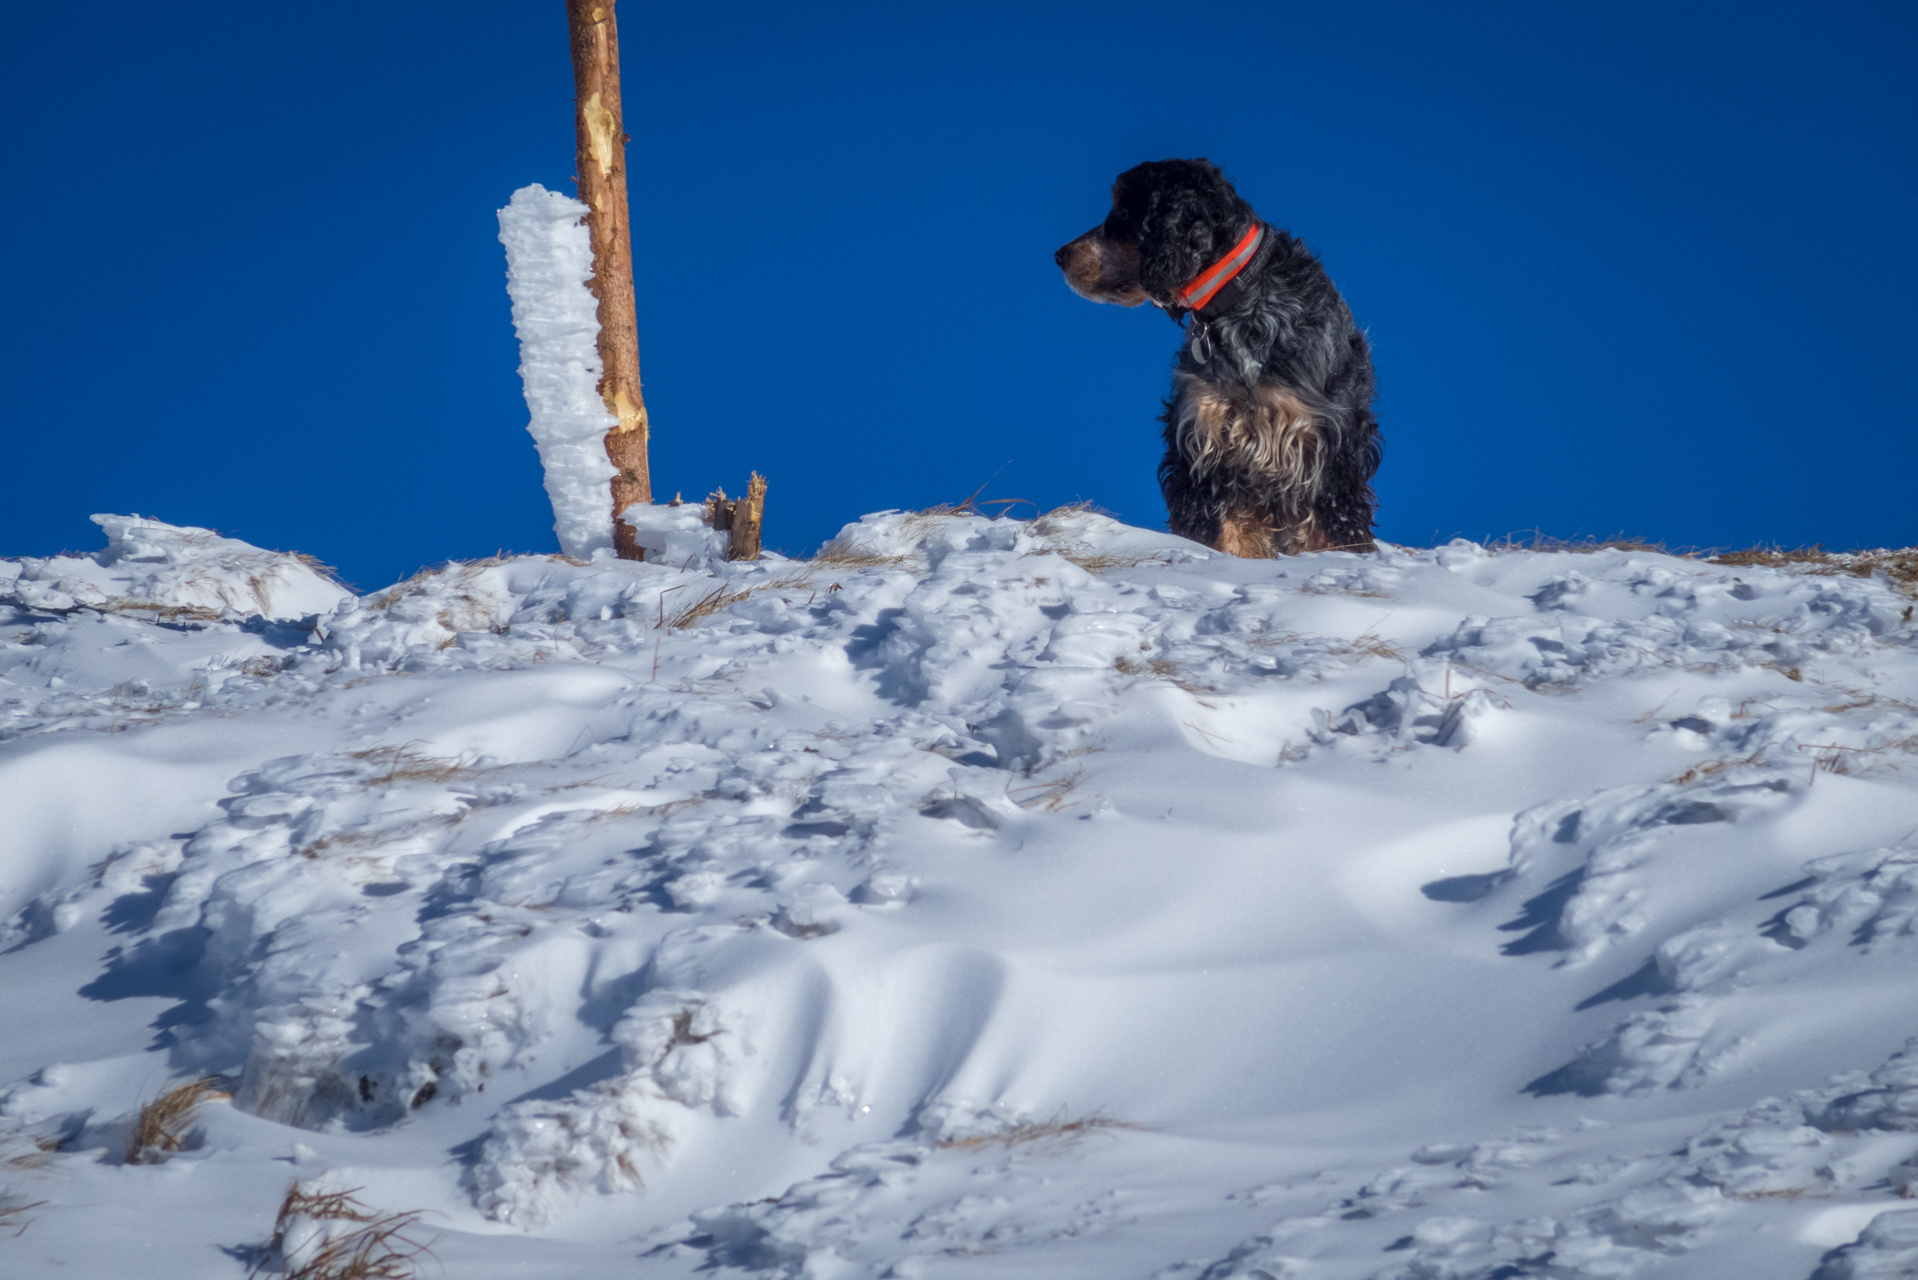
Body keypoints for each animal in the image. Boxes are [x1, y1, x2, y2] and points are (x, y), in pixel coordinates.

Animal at [1058, 157, 1388, 556]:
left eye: (1122, 210)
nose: (1059, 256)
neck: (1240, 299)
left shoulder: (1326, 443)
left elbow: (1334, 525)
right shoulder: (1205, 440)